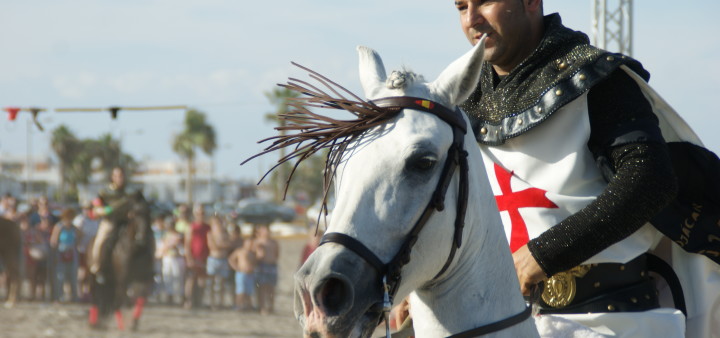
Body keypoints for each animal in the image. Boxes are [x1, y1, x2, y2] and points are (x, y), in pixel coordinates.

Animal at [88, 191, 155, 332]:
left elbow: (140, 298)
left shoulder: (143, 278)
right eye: (134, 214)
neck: (135, 250)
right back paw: (94, 323)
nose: (141, 239)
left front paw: (134, 323)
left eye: (149, 213)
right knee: (97, 298)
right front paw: (128, 324)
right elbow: (125, 302)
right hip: (93, 277)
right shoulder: (122, 280)